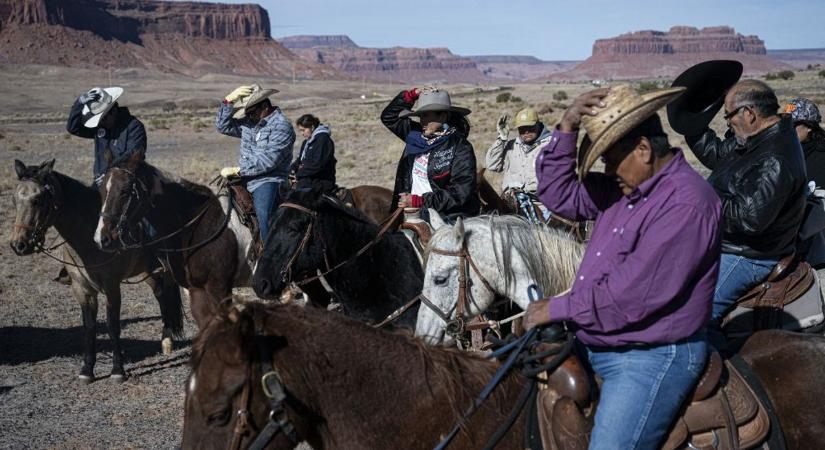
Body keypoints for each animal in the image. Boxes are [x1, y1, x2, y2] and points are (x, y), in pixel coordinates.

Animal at [10, 159, 183, 384]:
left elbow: (112, 325)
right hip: (147, 272)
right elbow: (90, 326)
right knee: (161, 295)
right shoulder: (81, 289)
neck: (88, 237)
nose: (19, 245)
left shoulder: (112, 287)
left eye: (38, 199)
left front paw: (118, 370)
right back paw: (166, 341)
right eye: (14, 199)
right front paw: (87, 370)